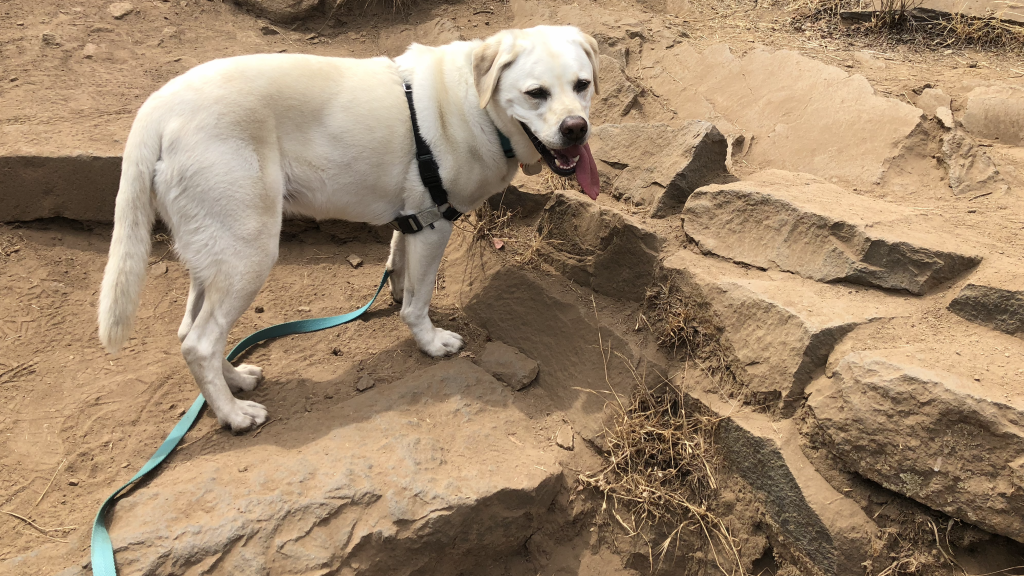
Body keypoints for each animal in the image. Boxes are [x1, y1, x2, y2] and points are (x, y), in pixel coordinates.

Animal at [96, 26, 598, 430]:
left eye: (583, 85)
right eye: (535, 93)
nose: (577, 128)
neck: (477, 104)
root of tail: (158, 109)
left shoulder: (413, 217)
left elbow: (398, 263)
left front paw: (395, 290)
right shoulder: (436, 223)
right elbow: (419, 300)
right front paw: (431, 342)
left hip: (215, 253)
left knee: (191, 333)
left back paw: (236, 380)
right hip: (248, 252)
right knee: (199, 343)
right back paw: (234, 416)